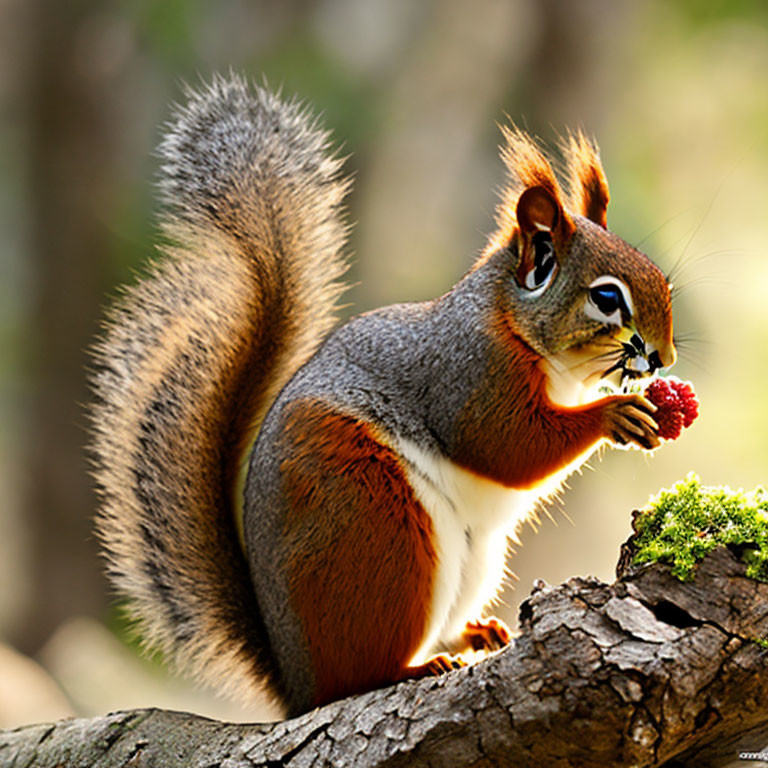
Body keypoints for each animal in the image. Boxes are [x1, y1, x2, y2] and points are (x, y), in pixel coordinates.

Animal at [90, 75, 676, 716]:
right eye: (606, 298)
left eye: (661, 281)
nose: (665, 360)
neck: (516, 325)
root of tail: (296, 685)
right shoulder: (469, 374)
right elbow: (507, 445)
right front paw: (614, 415)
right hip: (377, 527)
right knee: (361, 675)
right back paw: (412, 668)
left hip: (470, 556)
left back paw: (476, 633)